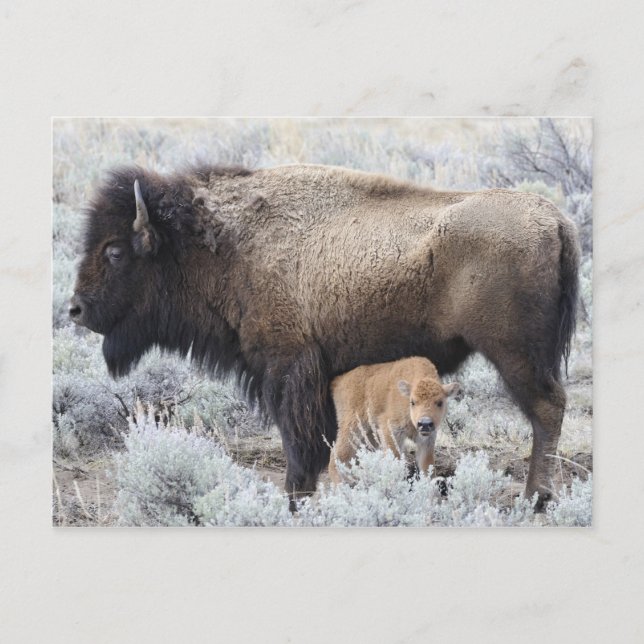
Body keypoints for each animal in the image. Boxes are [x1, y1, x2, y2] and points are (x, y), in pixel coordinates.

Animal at [328, 356, 459, 484]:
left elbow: (427, 469)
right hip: (352, 426)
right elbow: (394, 460)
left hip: (368, 435)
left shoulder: (427, 440)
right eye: (412, 402)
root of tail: (339, 380)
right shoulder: (390, 429)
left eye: (440, 402)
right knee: (337, 456)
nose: (425, 423)